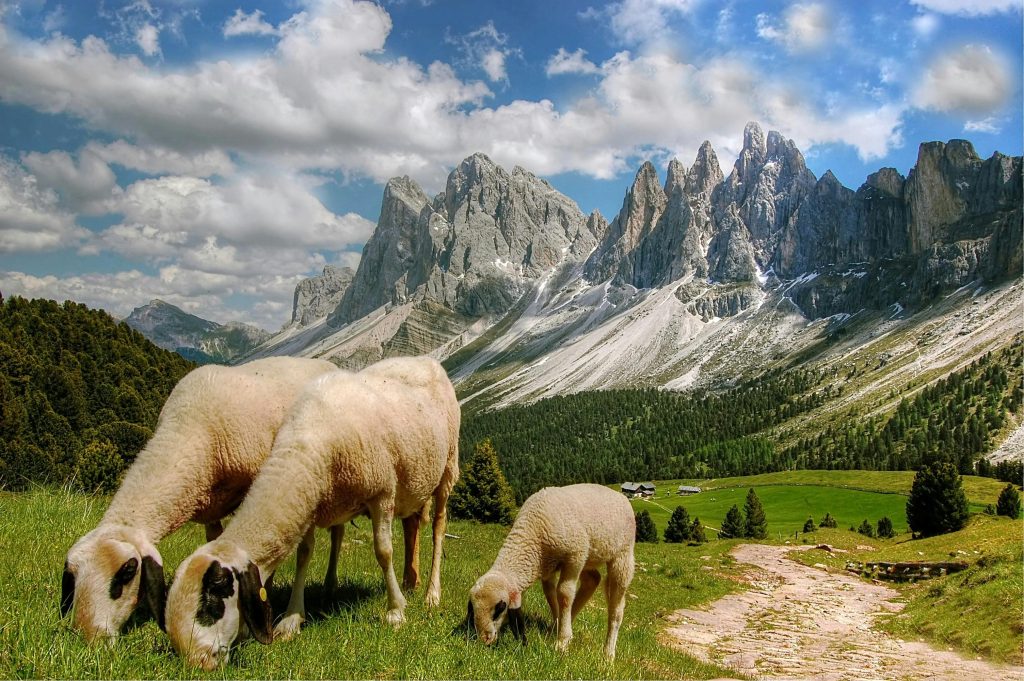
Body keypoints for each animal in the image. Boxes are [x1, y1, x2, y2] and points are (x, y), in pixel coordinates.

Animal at [61, 356, 340, 643]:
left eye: (127, 572)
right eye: (73, 575)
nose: (89, 636)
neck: (188, 428)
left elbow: (293, 551)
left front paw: (279, 617)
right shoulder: (210, 502)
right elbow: (218, 541)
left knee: (328, 538)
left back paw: (323, 590)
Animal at [164, 356, 460, 670]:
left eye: (212, 604)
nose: (199, 663)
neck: (307, 444)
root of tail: (423, 359)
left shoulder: (382, 492)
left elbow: (383, 552)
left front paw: (395, 611)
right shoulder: (312, 502)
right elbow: (304, 554)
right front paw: (291, 619)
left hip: (447, 467)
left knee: (438, 528)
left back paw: (431, 594)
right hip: (414, 480)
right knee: (412, 524)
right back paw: (411, 583)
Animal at [468, 483, 635, 659]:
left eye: (500, 609)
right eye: (472, 608)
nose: (484, 640)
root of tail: (620, 495)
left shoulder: (575, 556)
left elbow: (564, 594)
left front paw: (562, 641)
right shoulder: (548, 566)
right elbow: (550, 593)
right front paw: (556, 628)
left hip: (622, 556)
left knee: (616, 609)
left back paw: (608, 653)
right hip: (590, 557)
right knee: (593, 579)